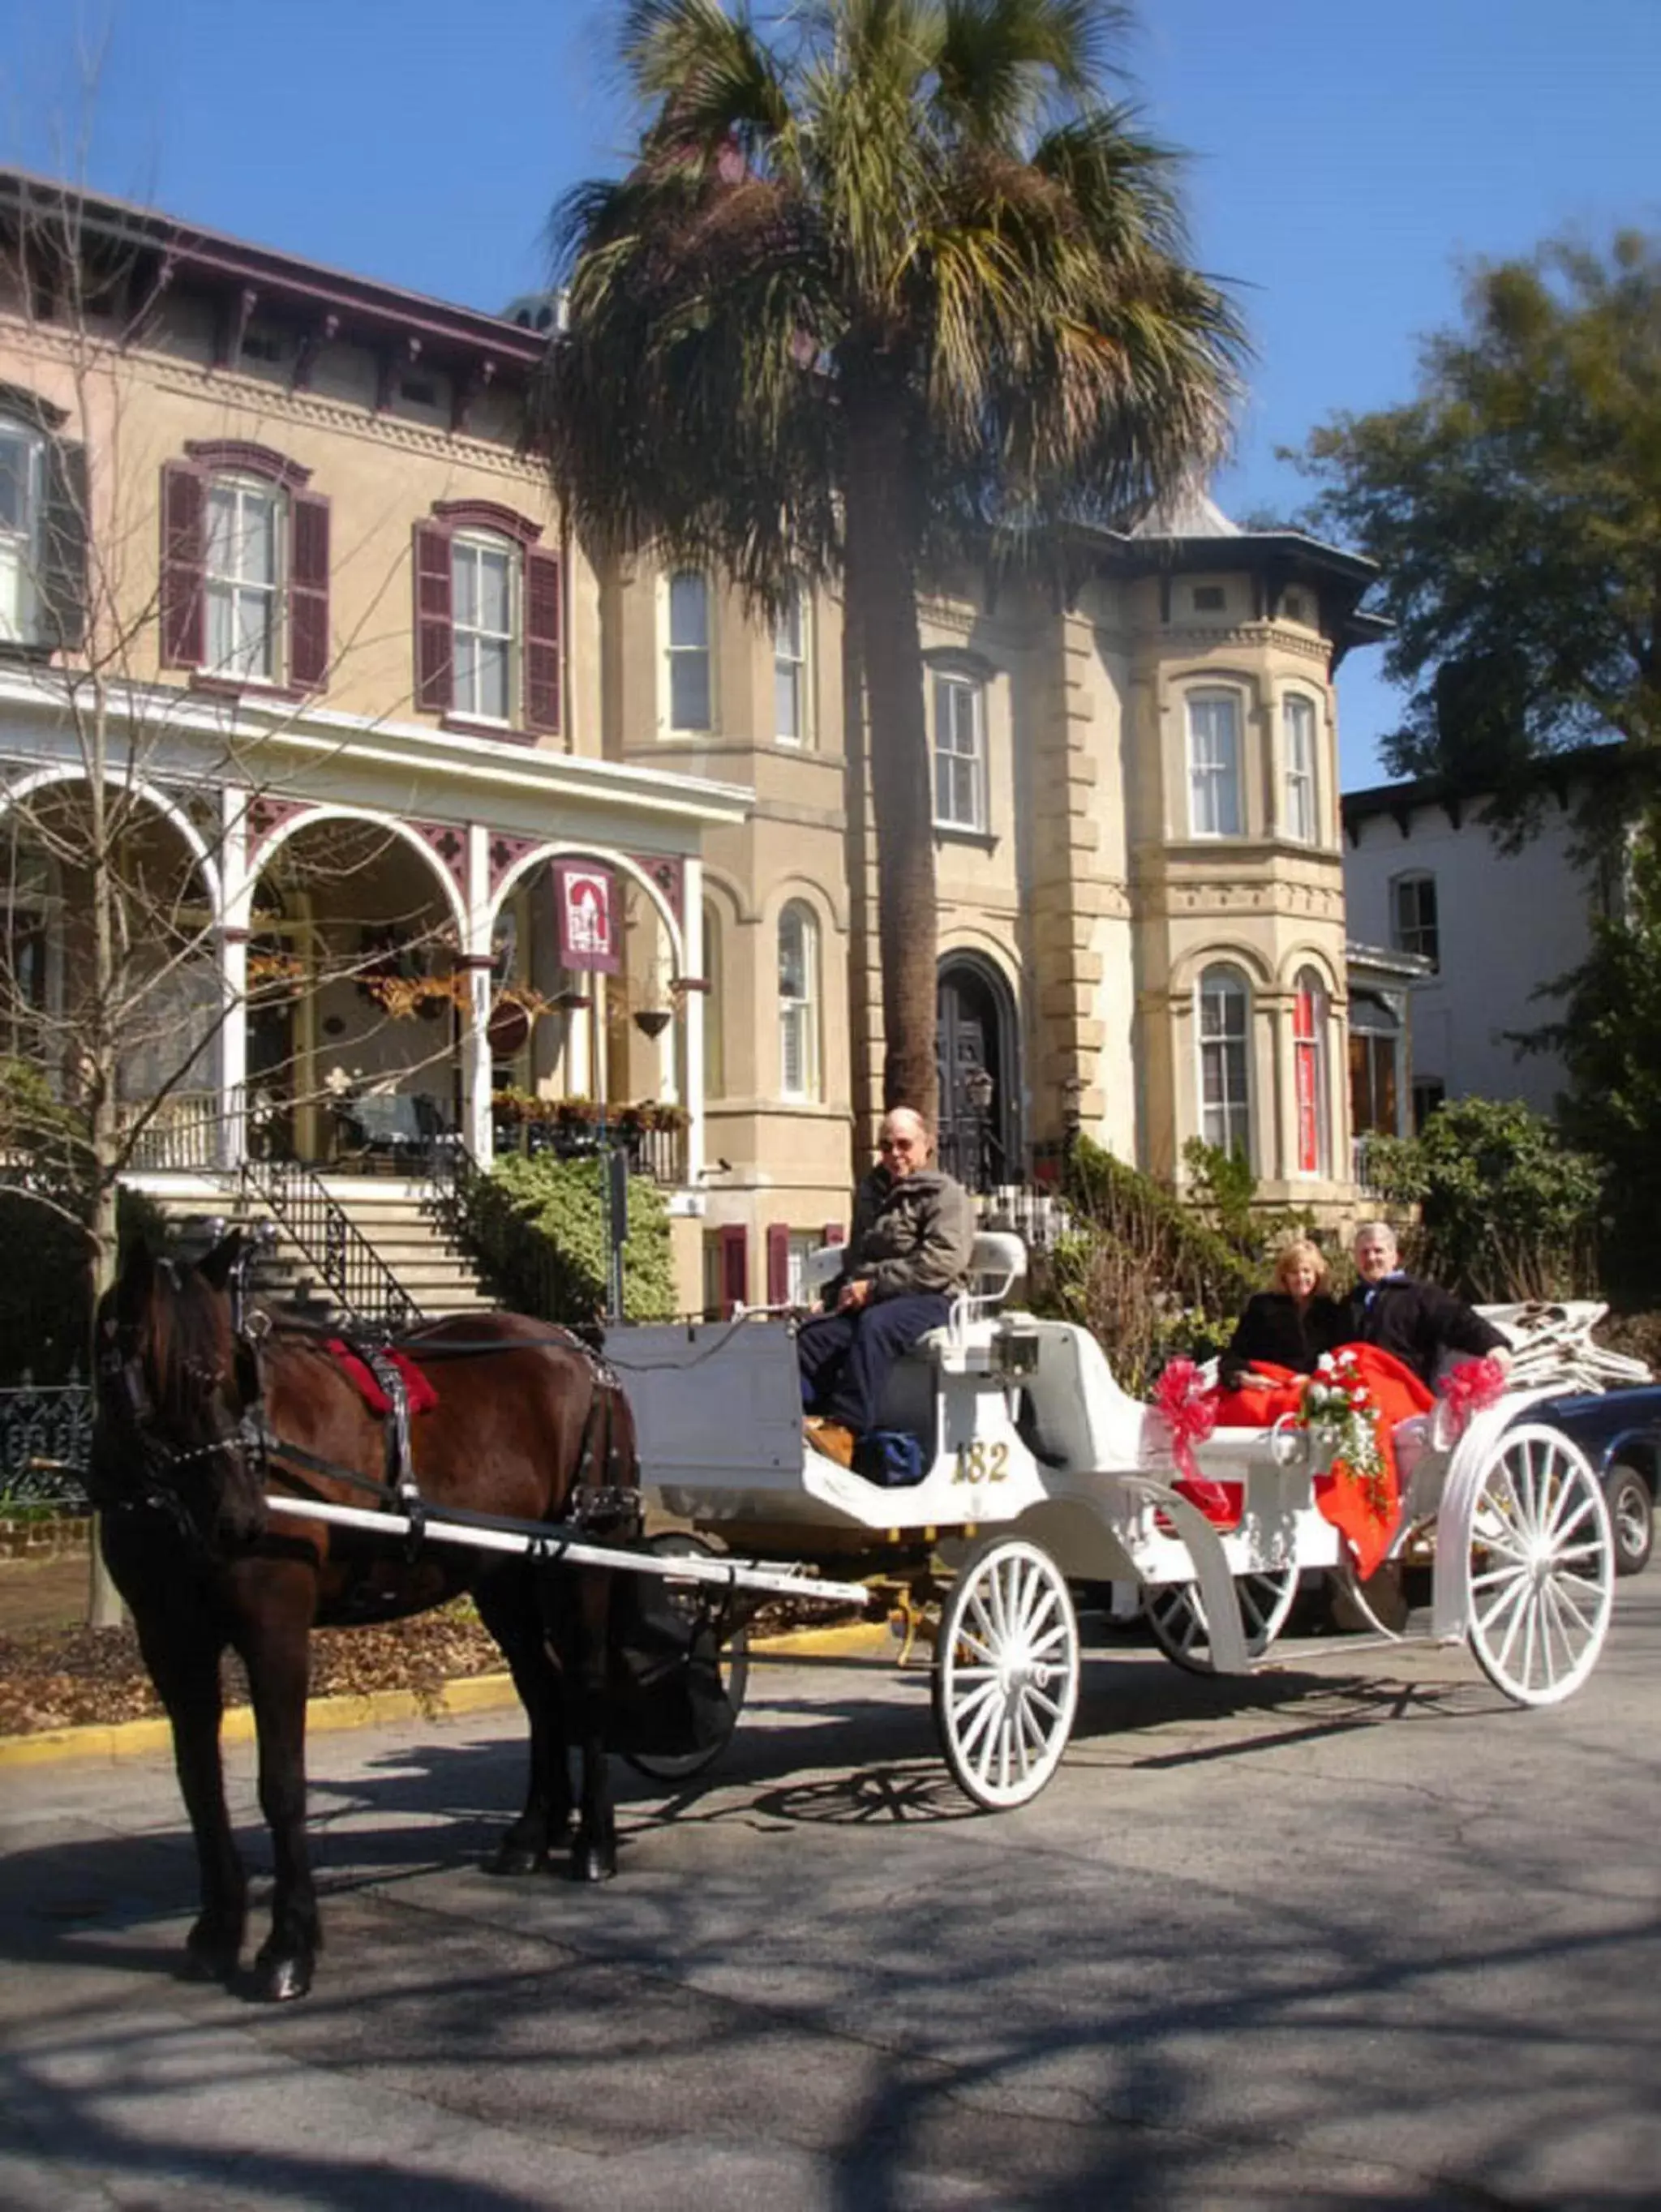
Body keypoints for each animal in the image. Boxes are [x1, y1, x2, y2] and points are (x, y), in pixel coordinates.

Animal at [92, 1229, 637, 2008]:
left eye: (235, 1375)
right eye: (161, 1379)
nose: (242, 1521)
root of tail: (578, 1350)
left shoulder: (275, 1628)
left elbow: (281, 1784)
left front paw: (289, 1947)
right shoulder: (168, 1640)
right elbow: (199, 1785)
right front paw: (216, 1934)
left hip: (583, 1559)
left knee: (586, 1687)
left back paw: (594, 1843)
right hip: (505, 1575)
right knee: (542, 1693)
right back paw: (534, 1833)